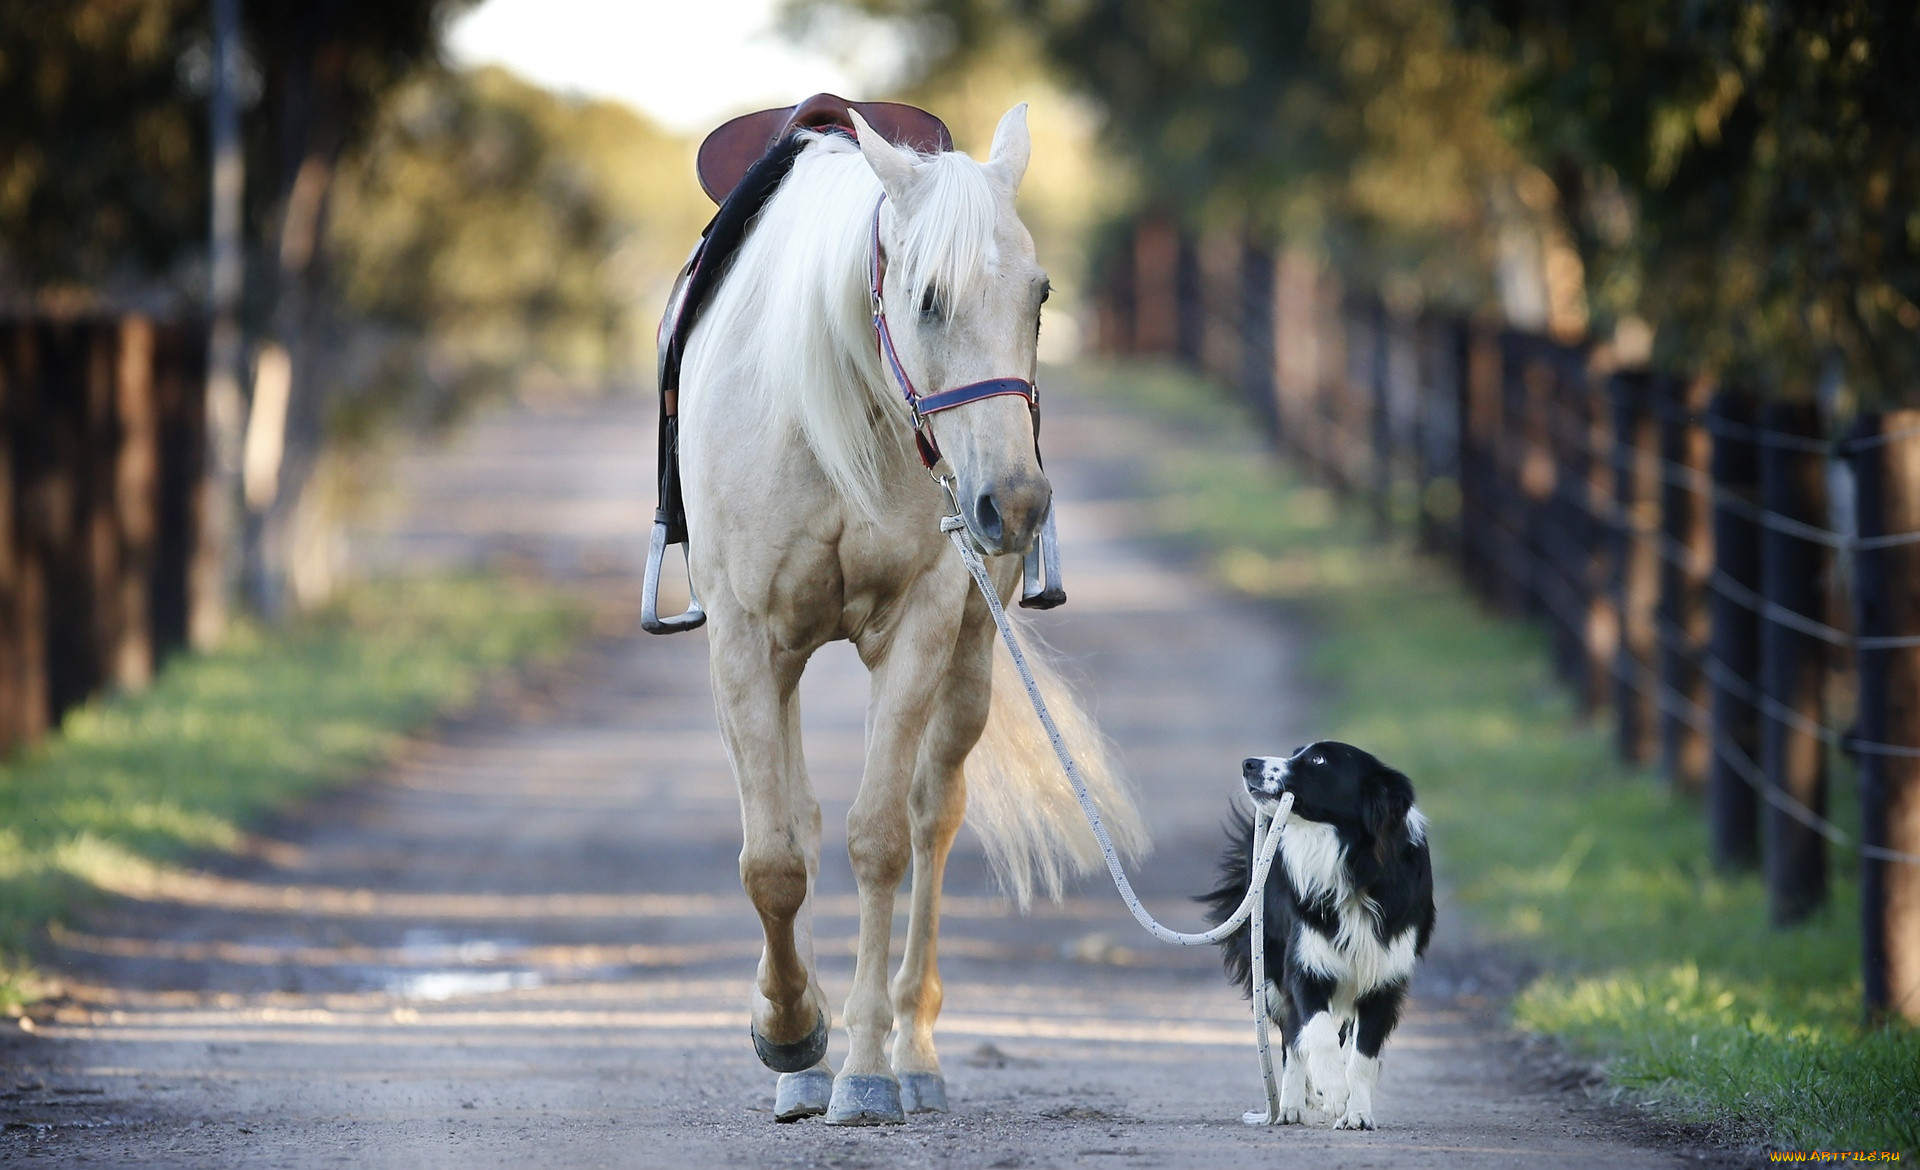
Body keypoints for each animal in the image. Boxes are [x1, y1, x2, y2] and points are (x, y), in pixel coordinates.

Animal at [679, 107, 1136, 1121]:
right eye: (927, 300)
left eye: (1041, 298)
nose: (1016, 504)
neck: (838, 415)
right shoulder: (744, 642)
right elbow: (773, 858)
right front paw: (790, 1032)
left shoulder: (922, 625)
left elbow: (881, 838)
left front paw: (865, 1067)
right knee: (799, 823)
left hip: (971, 652)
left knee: (935, 813)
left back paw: (913, 1049)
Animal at [1190, 737, 1436, 1129]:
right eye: (1295, 753)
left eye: (1319, 759)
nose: (1249, 764)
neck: (1354, 866)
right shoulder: (1306, 964)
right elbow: (1316, 1031)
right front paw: (1332, 1092)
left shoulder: (1385, 977)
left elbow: (1363, 1055)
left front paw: (1357, 1113)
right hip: (1273, 970)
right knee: (1293, 1037)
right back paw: (1290, 1106)